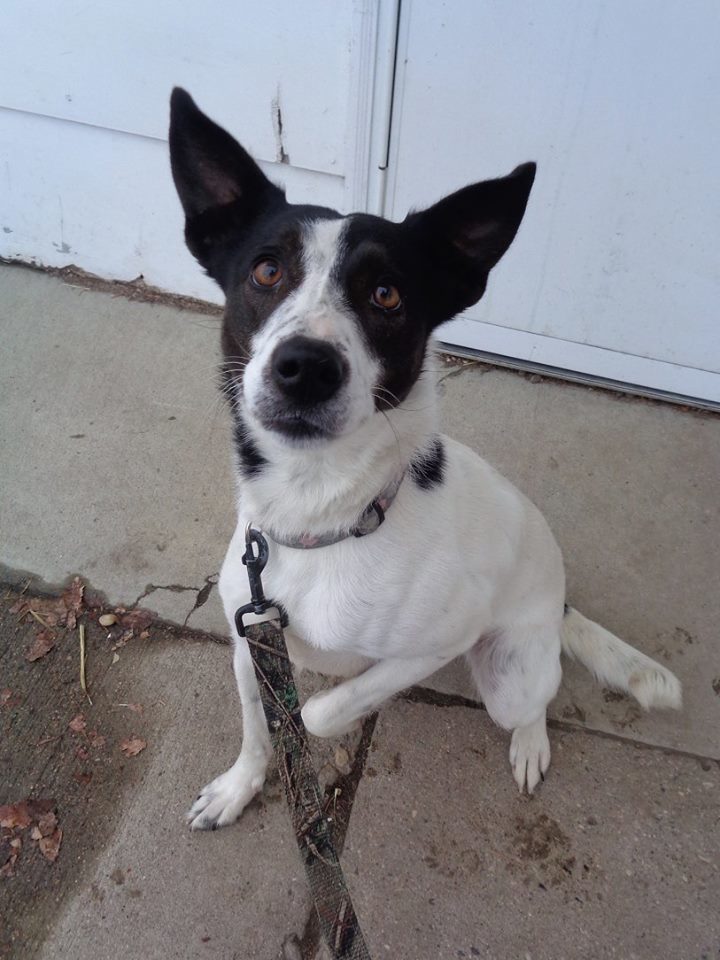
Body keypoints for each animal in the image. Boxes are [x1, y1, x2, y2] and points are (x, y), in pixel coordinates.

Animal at [169, 86, 680, 828]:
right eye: (266, 270)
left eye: (387, 294)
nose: (306, 367)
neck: (320, 515)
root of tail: (558, 599)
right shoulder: (250, 638)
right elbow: (259, 728)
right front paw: (240, 786)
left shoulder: (439, 641)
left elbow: (315, 714)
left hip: (511, 670)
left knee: (536, 700)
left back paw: (530, 742)